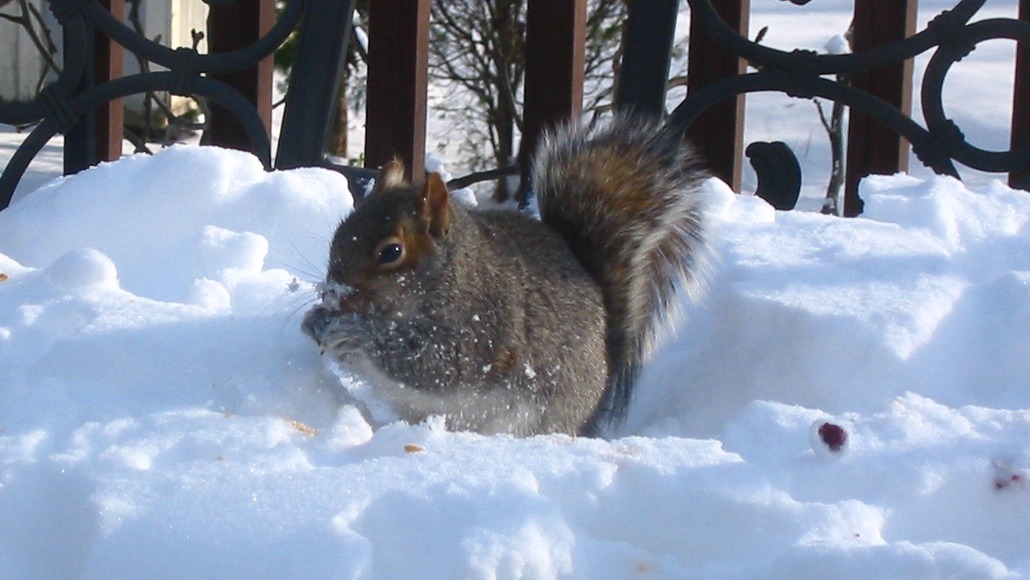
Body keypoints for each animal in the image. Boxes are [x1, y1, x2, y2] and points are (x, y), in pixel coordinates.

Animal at [300, 114, 712, 436]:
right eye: (339, 233)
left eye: (391, 252)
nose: (333, 293)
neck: (451, 276)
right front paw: (314, 321)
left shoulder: (482, 325)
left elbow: (434, 364)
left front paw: (353, 333)